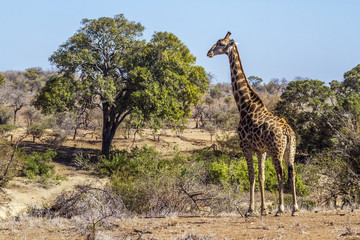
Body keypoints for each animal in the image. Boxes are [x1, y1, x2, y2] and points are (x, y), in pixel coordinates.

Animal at [207, 31, 300, 217]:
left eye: (221, 43)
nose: (209, 53)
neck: (244, 105)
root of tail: (287, 131)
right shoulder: (260, 150)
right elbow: (261, 176)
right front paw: (263, 209)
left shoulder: (245, 146)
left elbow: (251, 176)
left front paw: (250, 210)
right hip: (290, 149)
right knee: (292, 172)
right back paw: (295, 208)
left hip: (276, 150)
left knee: (281, 173)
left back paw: (280, 209)